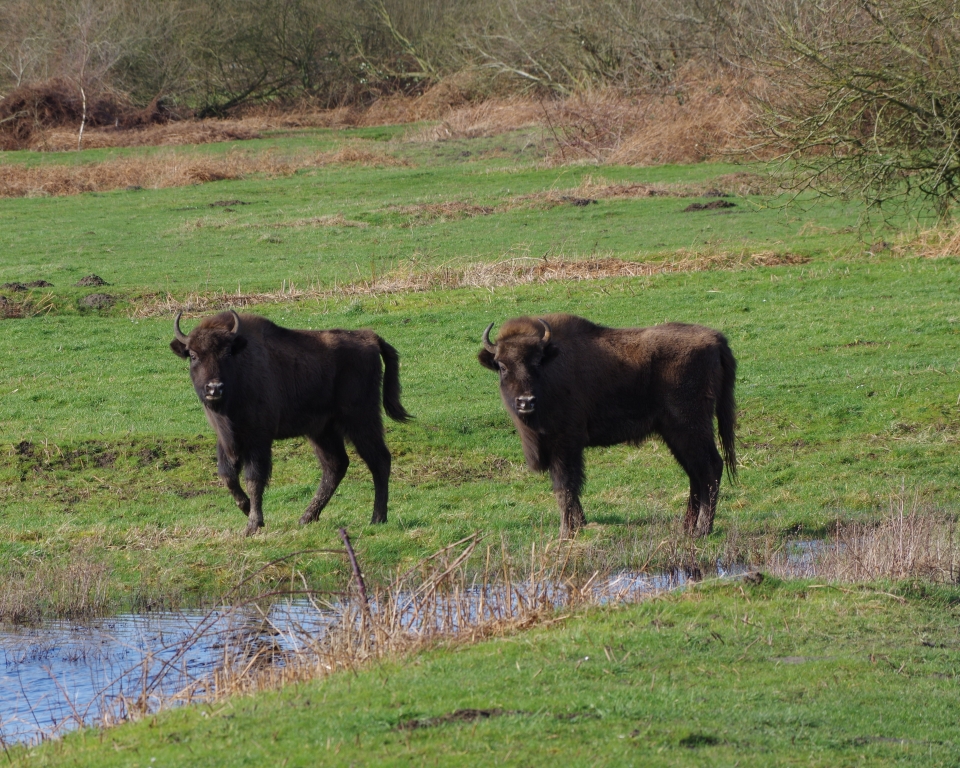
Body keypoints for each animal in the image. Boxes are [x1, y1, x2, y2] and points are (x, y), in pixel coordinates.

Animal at [171, 310, 410, 536]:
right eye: (193, 355)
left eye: (228, 353)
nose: (214, 388)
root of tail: (370, 337)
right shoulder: (226, 439)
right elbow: (227, 476)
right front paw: (247, 508)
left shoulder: (258, 440)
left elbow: (254, 479)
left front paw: (253, 524)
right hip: (323, 431)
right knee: (336, 465)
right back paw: (306, 518)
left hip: (361, 420)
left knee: (379, 460)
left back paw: (377, 518)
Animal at [478, 312, 736, 540]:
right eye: (502, 366)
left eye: (537, 363)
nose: (526, 402)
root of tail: (715, 339)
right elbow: (570, 489)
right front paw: (579, 525)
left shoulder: (565, 444)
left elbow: (565, 488)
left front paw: (565, 533)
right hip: (674, 434)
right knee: (696, 474)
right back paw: (687, 528)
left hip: (690, 427)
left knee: (710, 468)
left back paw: (702, 530)